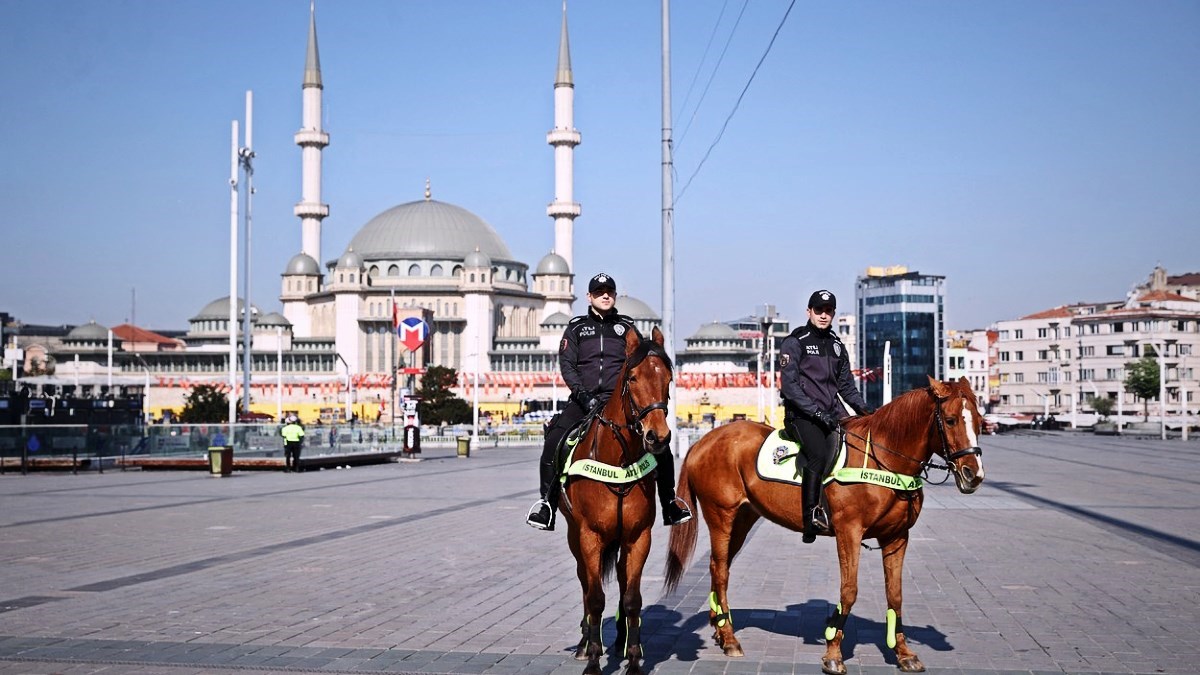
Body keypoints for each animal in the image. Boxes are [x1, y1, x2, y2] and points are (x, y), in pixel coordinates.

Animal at [554, 324, 676, 667]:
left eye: (668, 377)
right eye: (632, 377)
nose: (658, 436)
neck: (619, 461)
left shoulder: (638, 536)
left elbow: (632, 597)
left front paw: (633, 658)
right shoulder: (589, 536)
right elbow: (595, 597)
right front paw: (594, 658)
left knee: (622, 579)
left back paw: (622, 637)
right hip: (574, 535)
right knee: (585, 580)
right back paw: (585, 642)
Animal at [667, 374, 984, 667]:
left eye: (980, 420)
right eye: (951, 420)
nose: (974, 475)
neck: (882, 458)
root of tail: (703, 442)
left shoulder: (896, 537)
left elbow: (895, 595)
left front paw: (903, 653)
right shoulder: (849, 533)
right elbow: (849, 590)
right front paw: (833, 650)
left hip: (743, 520)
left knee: (718, 567)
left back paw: (720, 629)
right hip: (721, 516)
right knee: (720, 570)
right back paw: (730, 638)